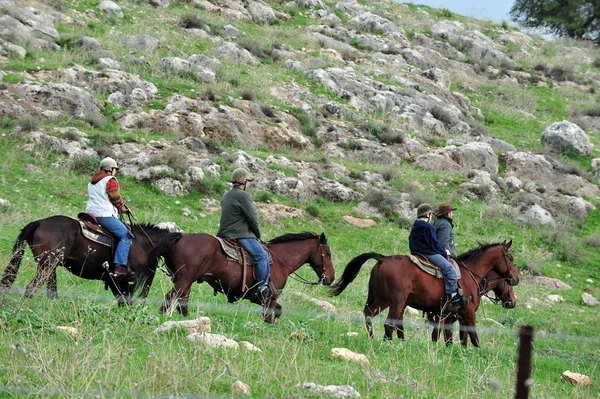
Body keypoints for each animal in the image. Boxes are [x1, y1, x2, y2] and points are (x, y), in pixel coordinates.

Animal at [0, 217, 170, 304]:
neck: (140, 242)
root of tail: (39, 222)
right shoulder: (129, 280)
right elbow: (126, 301)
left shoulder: (113, 281)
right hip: (46, 266)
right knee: (31, 288)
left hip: (50, 266)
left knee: (51, 290)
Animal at [142, 233, 338, 324]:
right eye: (328, 253)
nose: (331, 278)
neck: (281, 260)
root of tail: (180, 237)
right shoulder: (270, 297)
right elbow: (270, 314)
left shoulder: (258, 298)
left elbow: (278, 312)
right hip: (183, 281)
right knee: (169, 299)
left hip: (185, 282)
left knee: (182, 303)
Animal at [330, 241, 516, 346]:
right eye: (511, 259)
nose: (515, 279)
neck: (470, 274)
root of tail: (382, 259)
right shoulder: (467, 312)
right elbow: (471, 336)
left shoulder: (446, 315)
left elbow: (445, 336)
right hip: (396, 302)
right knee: (390, 324)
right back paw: (388, 344)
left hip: (382, 300)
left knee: (370, 315)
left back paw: (373, 339)